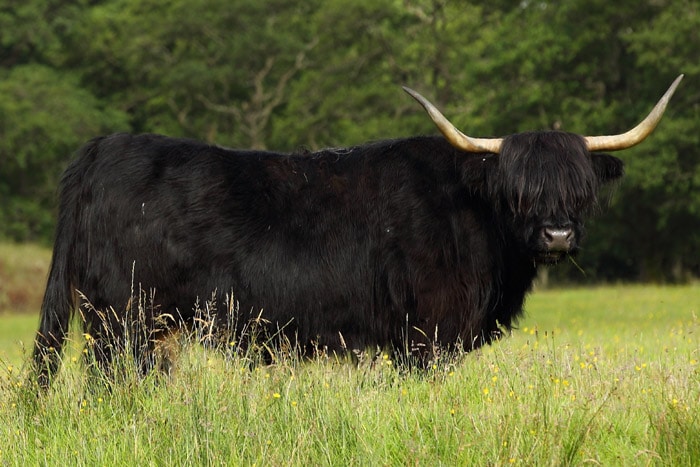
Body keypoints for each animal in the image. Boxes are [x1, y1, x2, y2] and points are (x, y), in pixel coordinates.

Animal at [32, 75, 684, 386]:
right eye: (518, 193)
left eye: (578, 192)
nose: (556, 236)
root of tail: (105, 146)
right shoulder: (426, 336)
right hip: (124, 323)